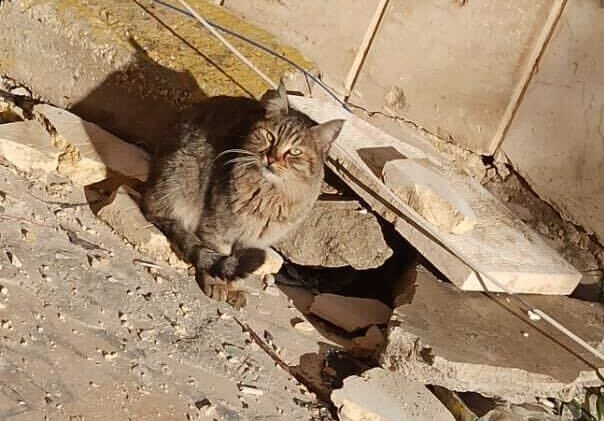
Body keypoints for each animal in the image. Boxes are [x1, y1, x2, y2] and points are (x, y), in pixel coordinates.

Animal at [139, 81, 342, 306]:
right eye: (270, 137)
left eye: (295, 151)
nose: (271, 158)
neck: (267, 196)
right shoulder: (217, 229)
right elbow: (220, 255)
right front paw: (218, 283)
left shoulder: (253, 241)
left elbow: (239, 267)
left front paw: (234, 288)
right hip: (181, 175)